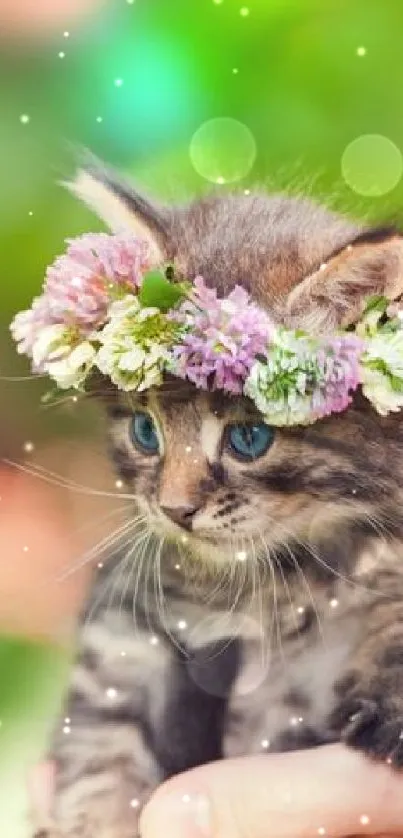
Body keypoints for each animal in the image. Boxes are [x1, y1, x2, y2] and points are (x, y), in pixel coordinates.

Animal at [34, 161, 403, 836]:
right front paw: (96, 817)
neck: (269, 582)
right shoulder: (125, 620)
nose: (175, 509)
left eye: (248, 438)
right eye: (145, 430)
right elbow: (101, 740)